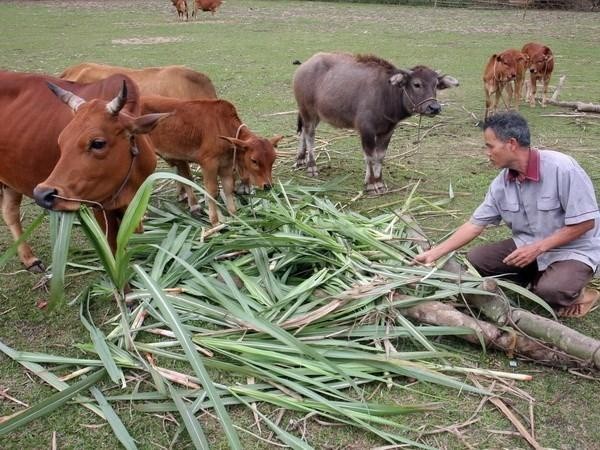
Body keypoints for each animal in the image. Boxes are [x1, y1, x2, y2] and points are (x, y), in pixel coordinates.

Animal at [0, 71, 166, 270]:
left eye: (98, 143)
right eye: (61, 141)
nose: (42, 194)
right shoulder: (100, 207)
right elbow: (113, 251)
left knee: (10, 212)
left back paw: (28, 258)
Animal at [141, 97, 282, 227]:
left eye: (273, 159)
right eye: (254, 160)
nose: (268, 185)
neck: (222, 126)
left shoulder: (226, 165)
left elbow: (228, 188)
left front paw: (235, 216)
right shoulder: (209, 164)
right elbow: (211, 192)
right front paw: (215, 222)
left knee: (184, 177)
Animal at [294, 52, 460, 193]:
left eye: (436, 85)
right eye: (417, 84)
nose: (434, 108)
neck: (386, 93)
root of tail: (304, 66)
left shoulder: (388, 130)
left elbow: (380, 156)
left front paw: (379, 181)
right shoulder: (366, 129)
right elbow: (369, 156)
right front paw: (371, 184)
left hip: (315, 115)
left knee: (303, 133)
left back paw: (300, 159)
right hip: (307, 110)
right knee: (309, 135)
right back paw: (312, 166)